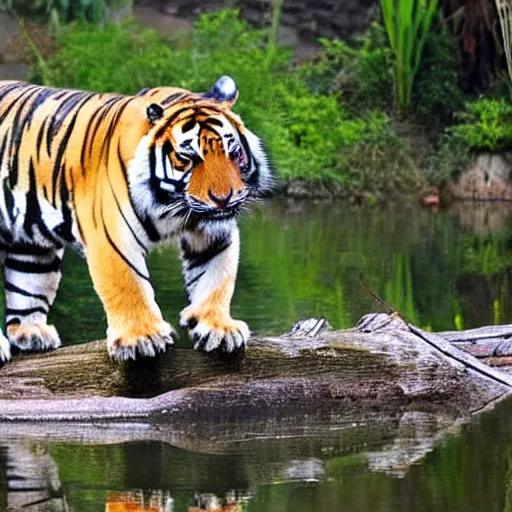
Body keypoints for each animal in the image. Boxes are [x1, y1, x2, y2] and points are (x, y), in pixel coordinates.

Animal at [0, 77, 274, 364]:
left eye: (233, 153)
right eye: (188, 159)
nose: (223, 199)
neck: (170, 205)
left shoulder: (215, 235)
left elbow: (216, 278)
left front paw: (219, 328)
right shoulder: (110, 235)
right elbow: (128, 284)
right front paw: (142, 337)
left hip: (30, 240)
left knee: (28, 281)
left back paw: (33, 333)